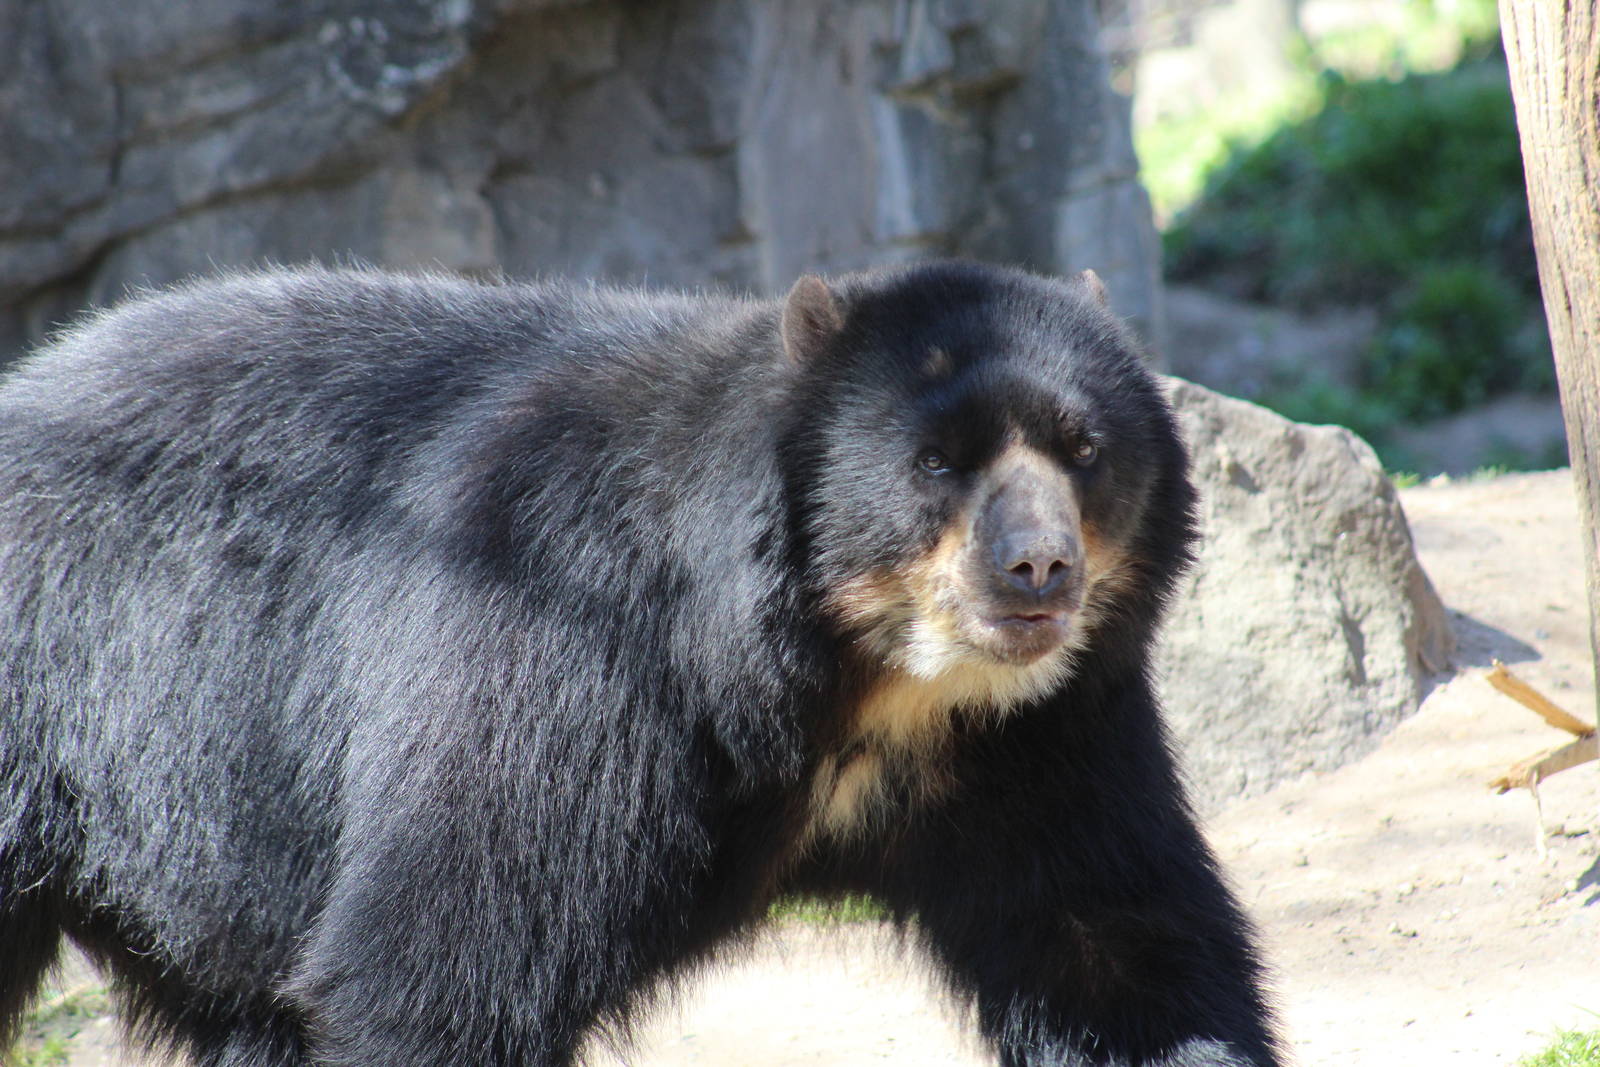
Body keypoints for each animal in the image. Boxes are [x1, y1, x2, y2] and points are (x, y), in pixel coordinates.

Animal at [0, 261, 1279, 1067]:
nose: (1038, 570)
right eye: (937, 463)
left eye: (1083, 449)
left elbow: (1109, 944)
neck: (872, 680)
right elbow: (445, 957)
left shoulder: (1047, 730)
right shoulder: (567, 654)